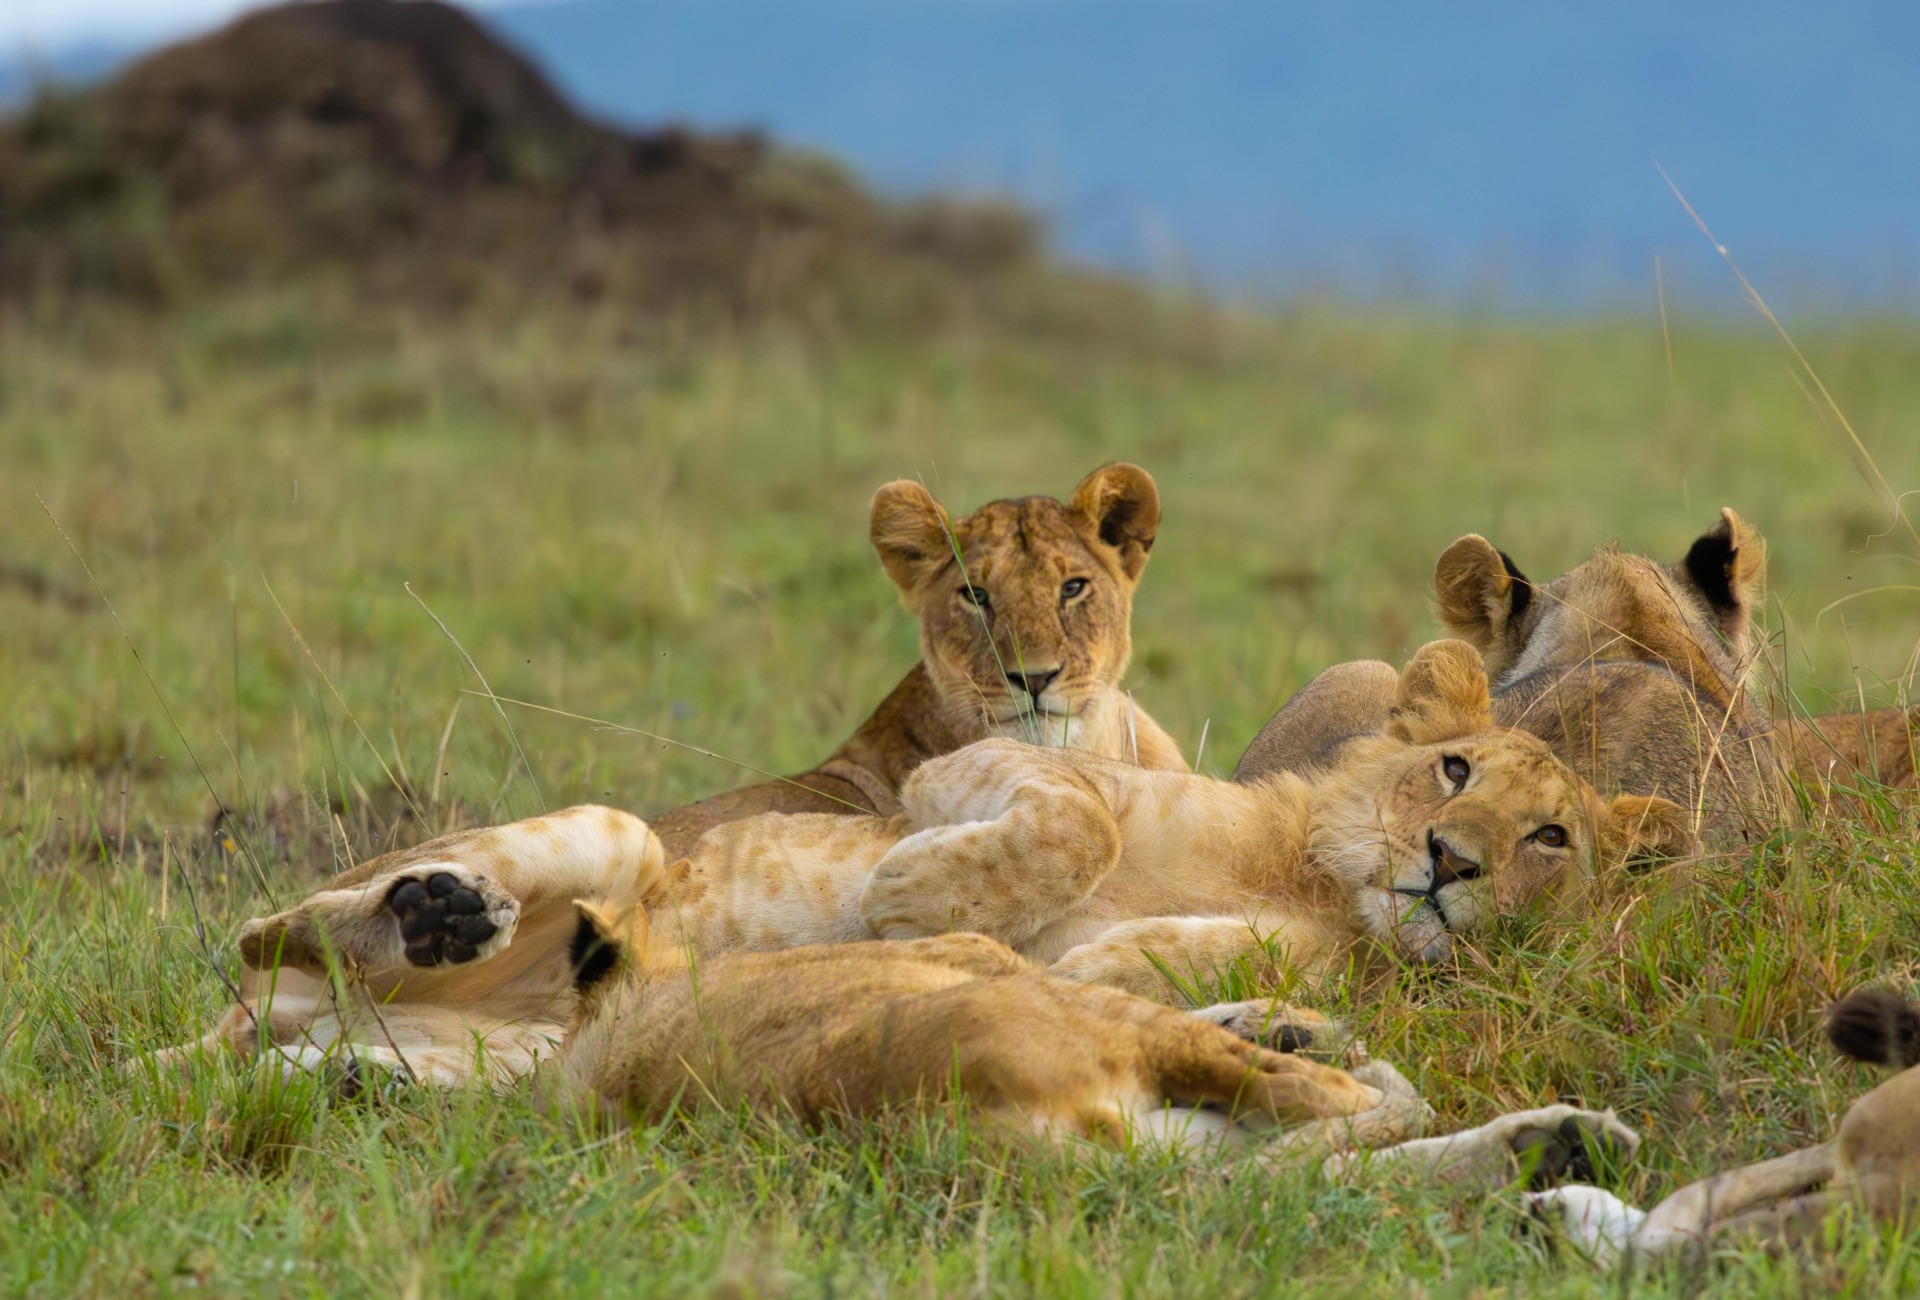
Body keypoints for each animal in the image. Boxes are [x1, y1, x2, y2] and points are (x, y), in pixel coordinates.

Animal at [176, 640, 1689, 1086]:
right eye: (1455, 772)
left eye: (1550, 836)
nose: (1449, 861)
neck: (1311, 878)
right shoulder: (975, 774)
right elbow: (1062, 828)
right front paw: (904, 896)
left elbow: (1137, 964)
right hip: (609, 830)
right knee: (267, 925)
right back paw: (442, 910)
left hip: (514, 1059)